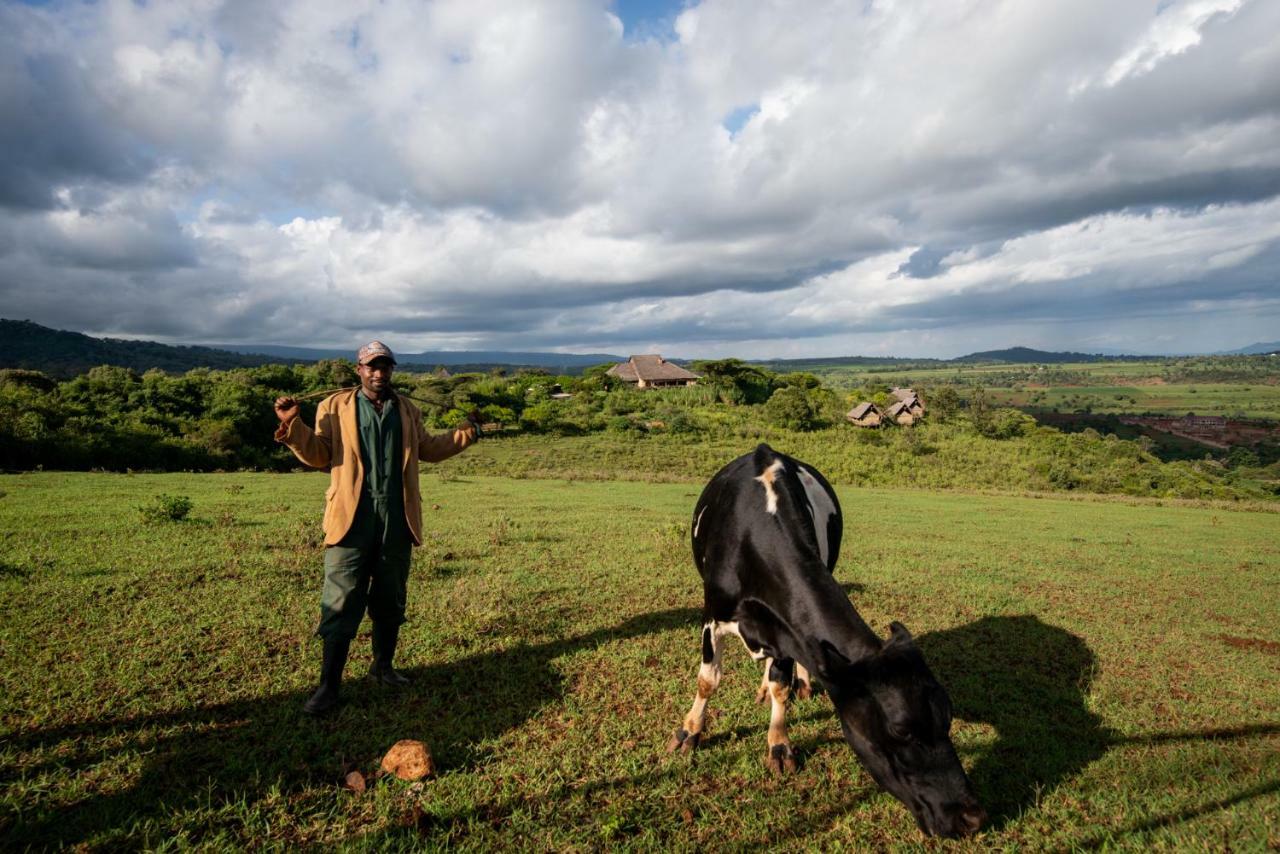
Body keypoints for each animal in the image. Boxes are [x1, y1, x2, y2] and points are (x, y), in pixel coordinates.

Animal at [665, 448, 983, 839]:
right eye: (901, 730)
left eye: (947, 718)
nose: (972, 818)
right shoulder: (714, 614)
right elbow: (708, 681)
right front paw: (689, 732)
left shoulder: (786, 630)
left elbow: (781, 684)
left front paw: (779, 744)